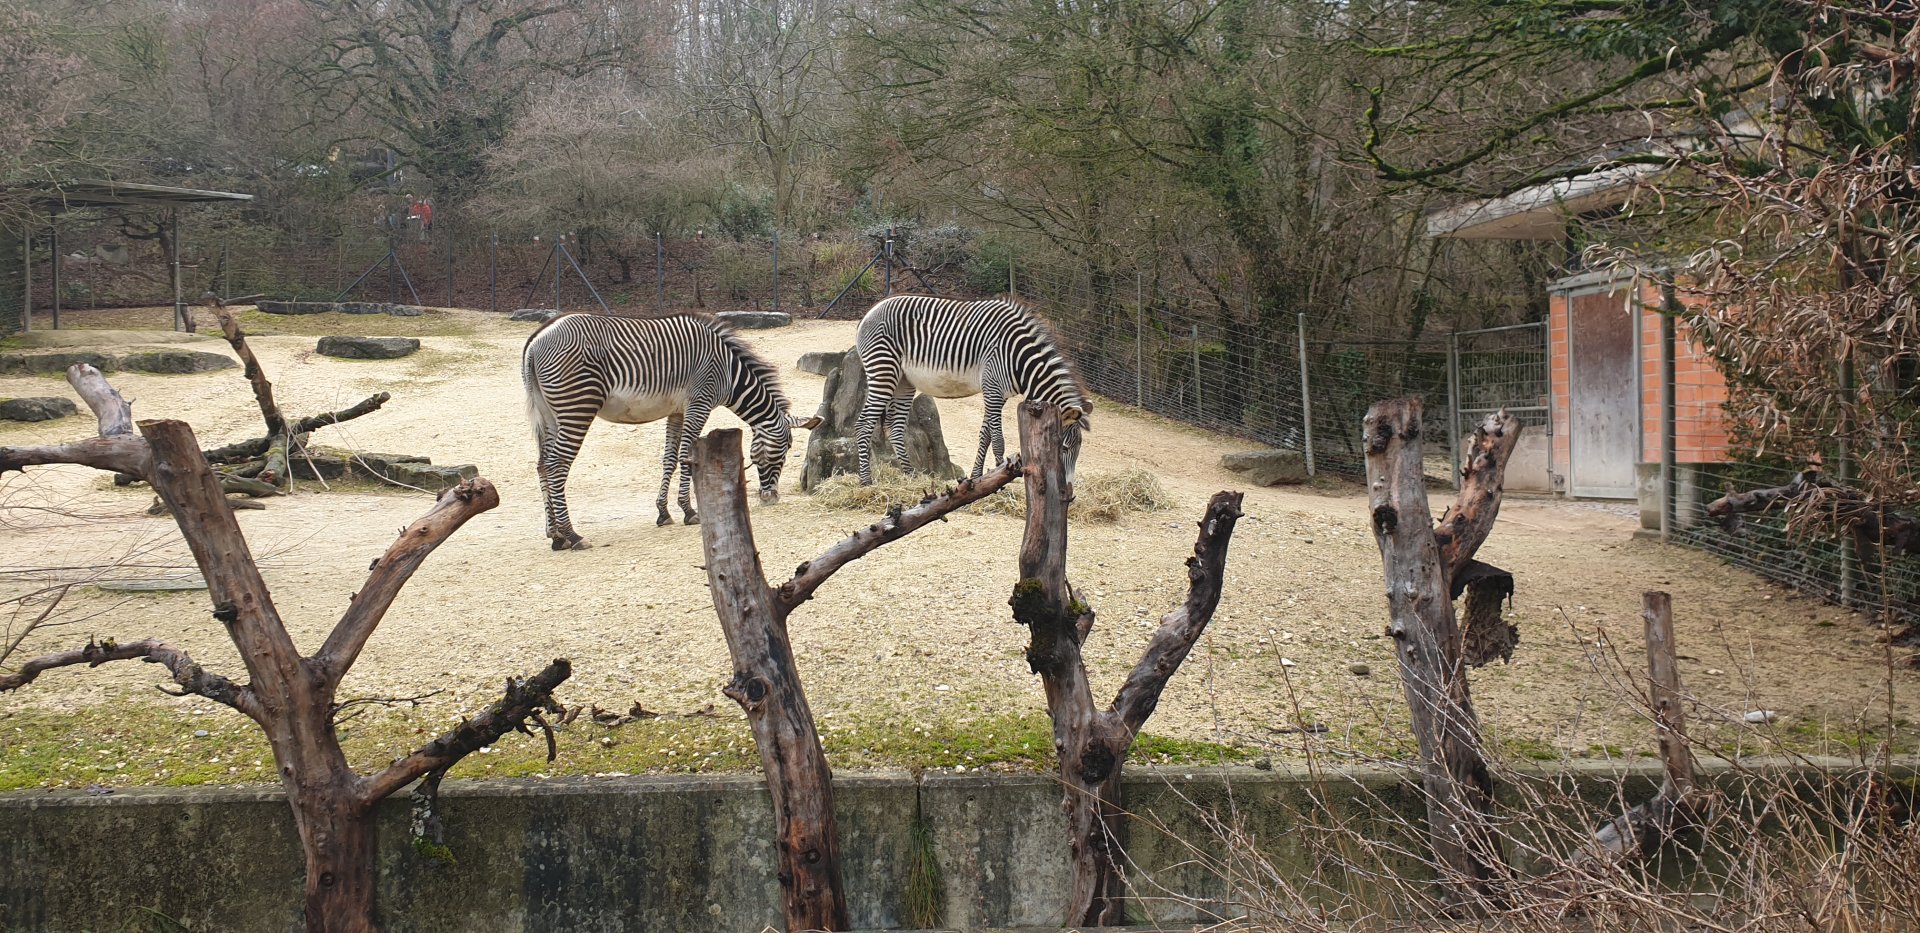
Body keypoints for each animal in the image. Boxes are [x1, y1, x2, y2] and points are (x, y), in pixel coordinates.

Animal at [521, 311, 820, 550]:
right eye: (785, 452)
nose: (771, 498)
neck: (729, 372)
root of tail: (536, 340)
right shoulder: (699, 404)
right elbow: (686, 457)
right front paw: (689, 511)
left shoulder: (676, 412)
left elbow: (669, 459)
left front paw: (664, 512)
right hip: (577, 406)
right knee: (557, 464)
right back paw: (573, 535)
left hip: (549, 413)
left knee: (542, 464)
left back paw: (555, 535)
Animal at [854, 294, 1092, 486]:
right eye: (1064, 448)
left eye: (1079, 449)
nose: (1069, 490)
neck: (1018, 357)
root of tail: (869, 312)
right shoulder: (993, 388)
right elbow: (997, 440)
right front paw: (1003, 477)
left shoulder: (999, 394)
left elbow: (985, 435)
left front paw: (977, 477)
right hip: (883, 371)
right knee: (863, 424)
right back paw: (866, 481)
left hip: (904, 381)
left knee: (895, 428)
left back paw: (911, 476)